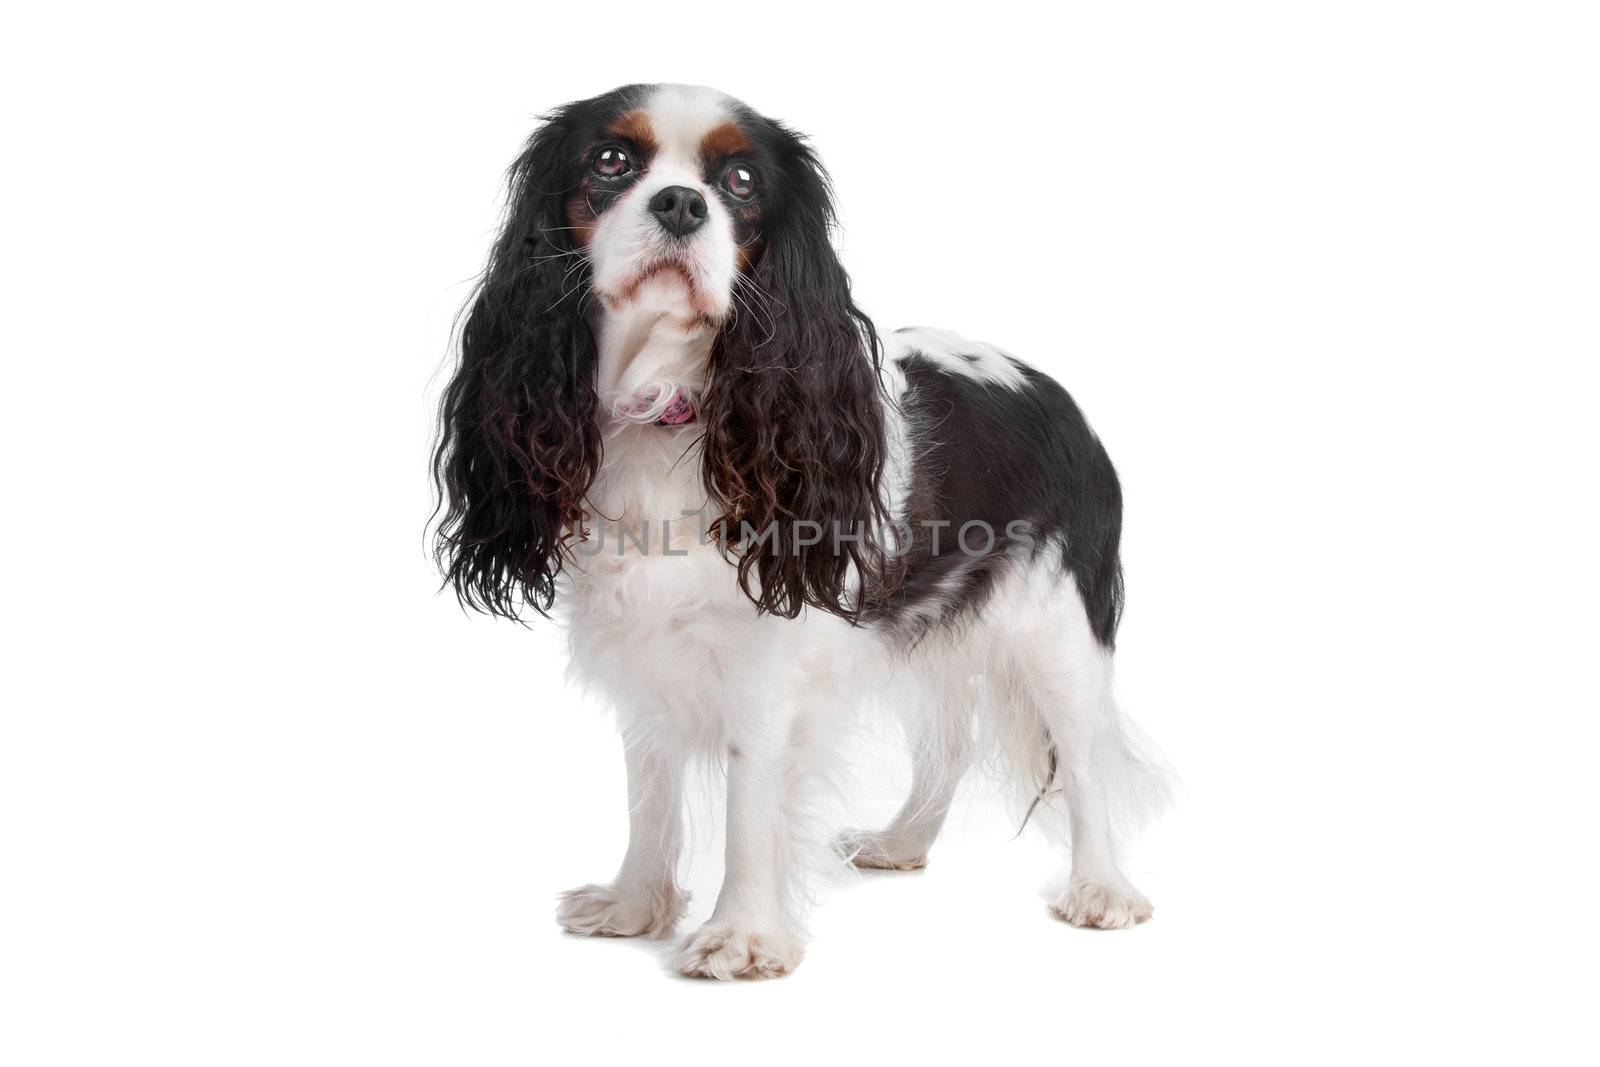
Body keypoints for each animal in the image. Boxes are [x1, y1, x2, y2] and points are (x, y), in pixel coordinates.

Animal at [432, 85, 1171, 985]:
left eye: (742, 181)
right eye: (610, 161)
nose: (680, 203)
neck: (671, 409)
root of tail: (1055, 391)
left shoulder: (768, 665)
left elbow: (751, 801)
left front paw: (741, 936)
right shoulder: (645, 652)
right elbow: (650, 788)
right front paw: (636, 905)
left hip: (1058, 627)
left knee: (1086, 757)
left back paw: (1102, 888)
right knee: (949, 742)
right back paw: (903, 841)